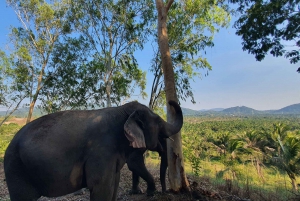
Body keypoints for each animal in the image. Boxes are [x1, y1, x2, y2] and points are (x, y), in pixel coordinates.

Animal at [4, 99, 183, 200]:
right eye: (158, 123)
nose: (165, 192)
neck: (121, 110)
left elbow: (114, 184)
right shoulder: (101, 151)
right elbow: (100, 186)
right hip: (16, 170)